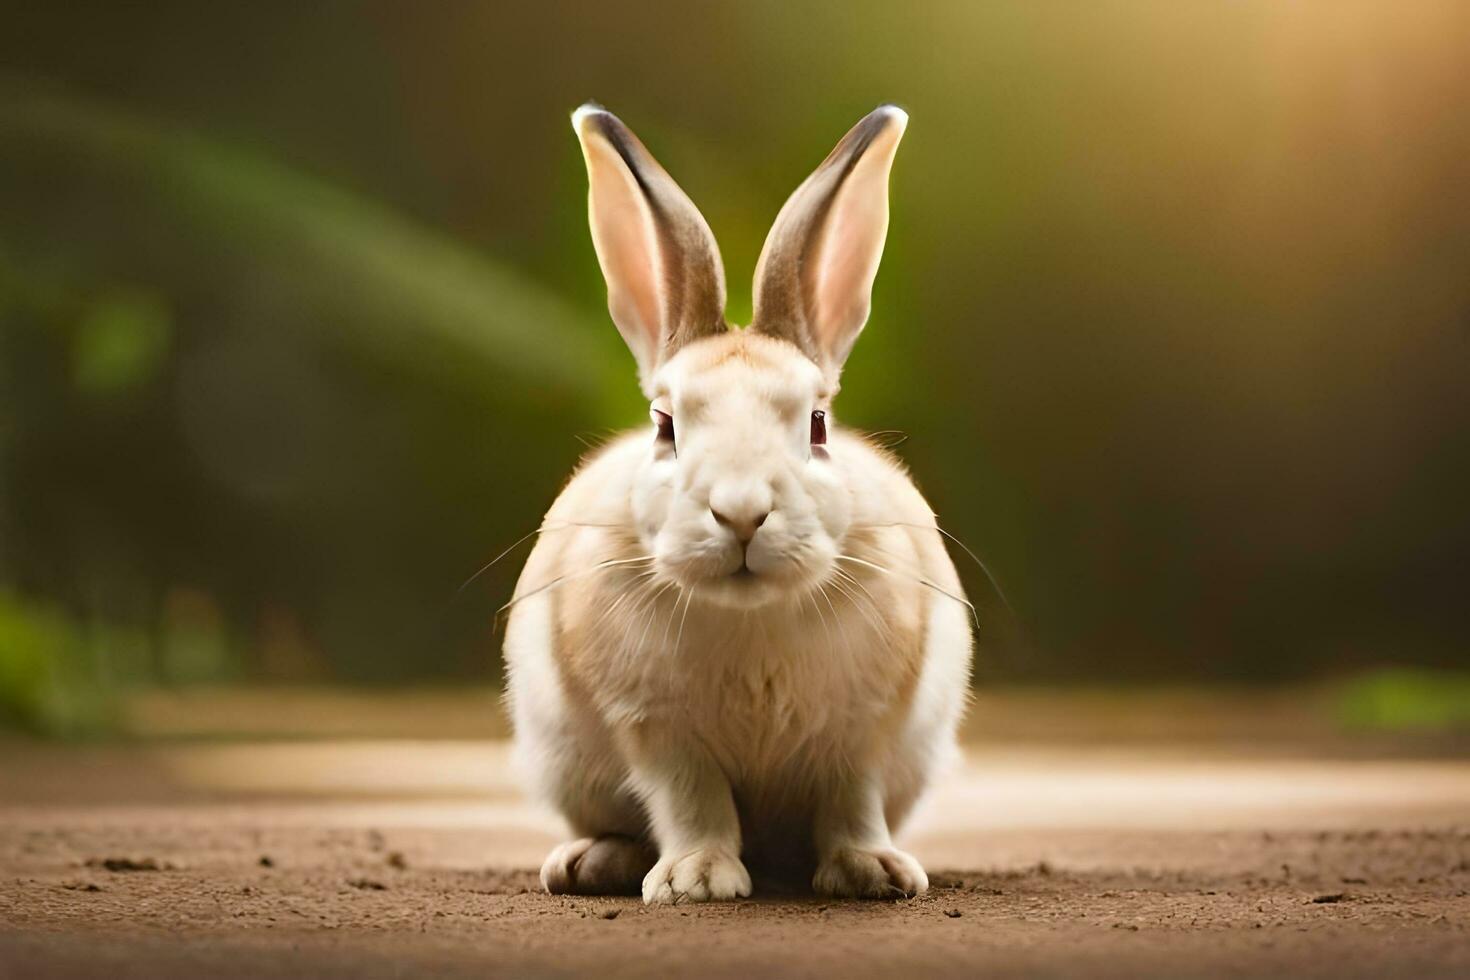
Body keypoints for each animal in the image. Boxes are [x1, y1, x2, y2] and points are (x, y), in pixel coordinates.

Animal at [505, 101, 976, 905]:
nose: (742, 513)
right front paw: (695, 880)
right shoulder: (656, 732)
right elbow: (691, 802)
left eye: (817, 424)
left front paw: (873, 872)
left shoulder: (862, 734)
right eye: (665, 425)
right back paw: (590, 862)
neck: (750, 618)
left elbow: (853, 802)